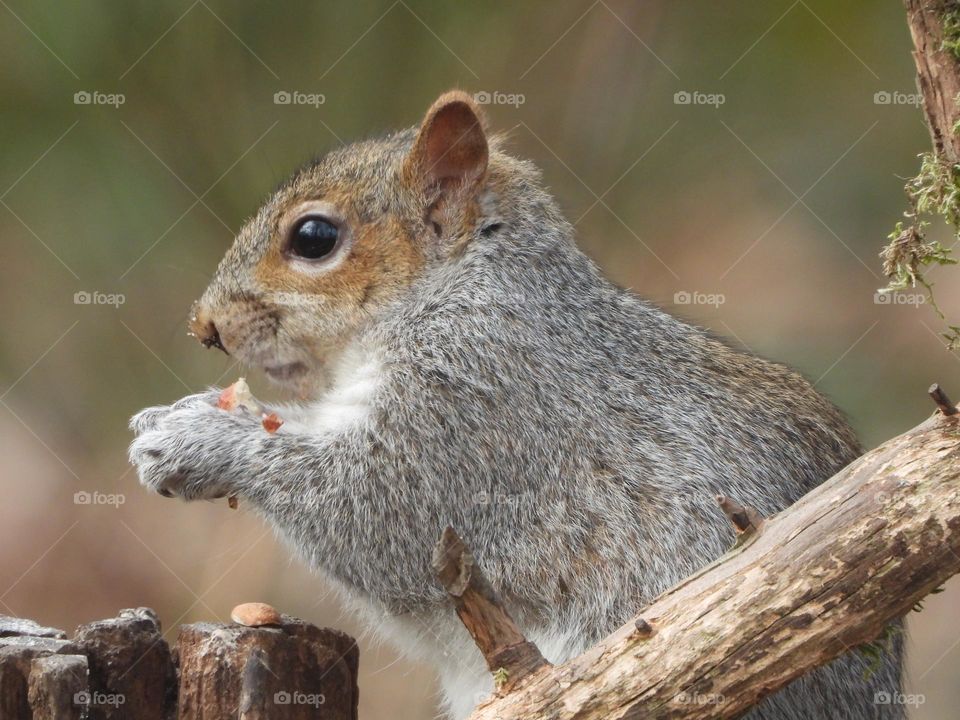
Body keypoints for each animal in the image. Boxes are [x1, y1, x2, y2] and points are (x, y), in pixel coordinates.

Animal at [129, 91, 903, 720]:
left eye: (314, 237)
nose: (205, 326)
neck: (459, 289)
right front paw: (167, 416)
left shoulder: (481, 407)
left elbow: (375, 509)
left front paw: (197, 438)